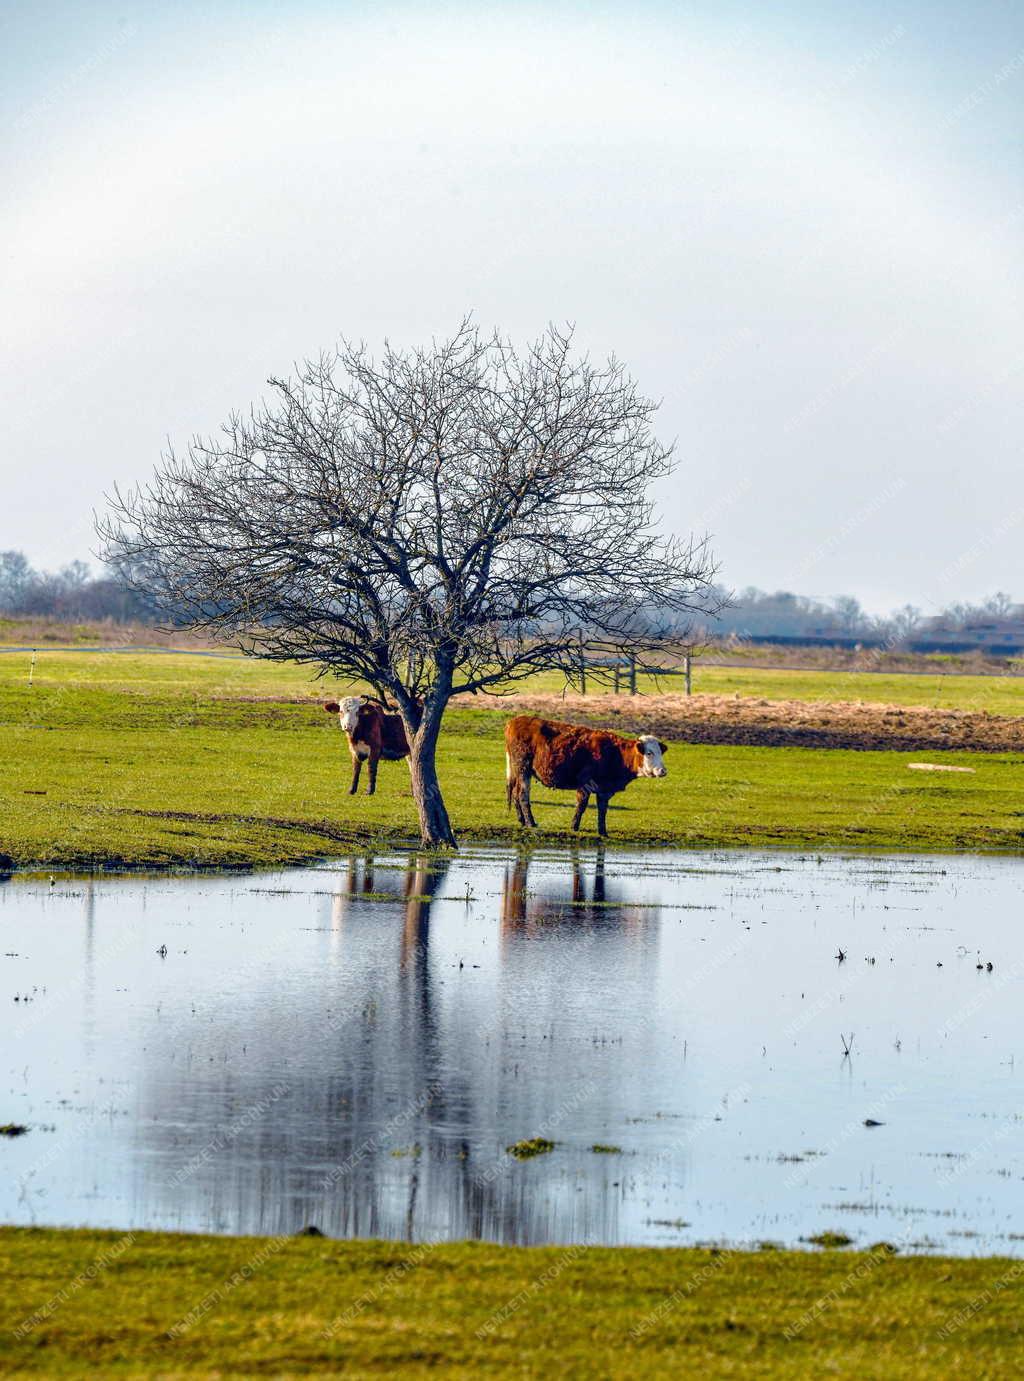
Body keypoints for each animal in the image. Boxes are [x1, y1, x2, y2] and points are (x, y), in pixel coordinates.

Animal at [500, 718, 663, 834]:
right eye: (649, 753)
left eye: (661, 753)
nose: (663, 770)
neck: (615, 753)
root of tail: (515, 721)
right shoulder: (585, 783)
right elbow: (581, 805)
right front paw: (574, 826)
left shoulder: (604, 788)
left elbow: (602, 809)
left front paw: (602, 831)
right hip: (523, 769)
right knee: (522, 795)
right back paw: (530, 822)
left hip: (519, 771)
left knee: (515, 793)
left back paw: (521, 820)